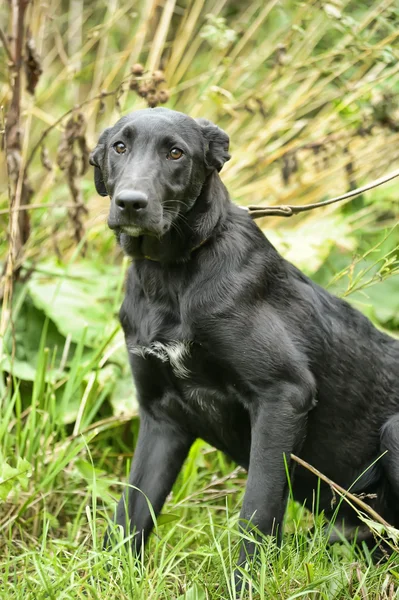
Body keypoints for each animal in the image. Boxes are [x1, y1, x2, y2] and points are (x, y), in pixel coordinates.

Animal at [90, 106, 399, 580]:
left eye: (176, 153)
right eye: (119, 147)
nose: (130, 203)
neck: (171, 276)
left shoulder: (282, 396)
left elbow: (258, 510)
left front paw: (245, 583)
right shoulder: (162, 415)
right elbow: (131, 511)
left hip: (393, 431)